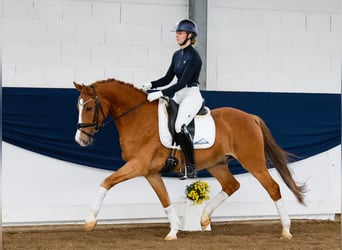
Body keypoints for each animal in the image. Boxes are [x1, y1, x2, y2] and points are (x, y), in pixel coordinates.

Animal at [74, 78, 304, 240]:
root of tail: (250, 117)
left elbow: (106, 181)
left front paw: (90, 220)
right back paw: (204, 219)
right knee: (231, 185)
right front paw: (173, 231)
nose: (80, 140)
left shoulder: (137, 165)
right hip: (217, 164)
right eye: (79, 107)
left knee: (273, 187)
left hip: (253, 162)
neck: (138, 118)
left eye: (89, 108)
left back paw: (286, 231)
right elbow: (164, 199)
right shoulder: (150, 172)